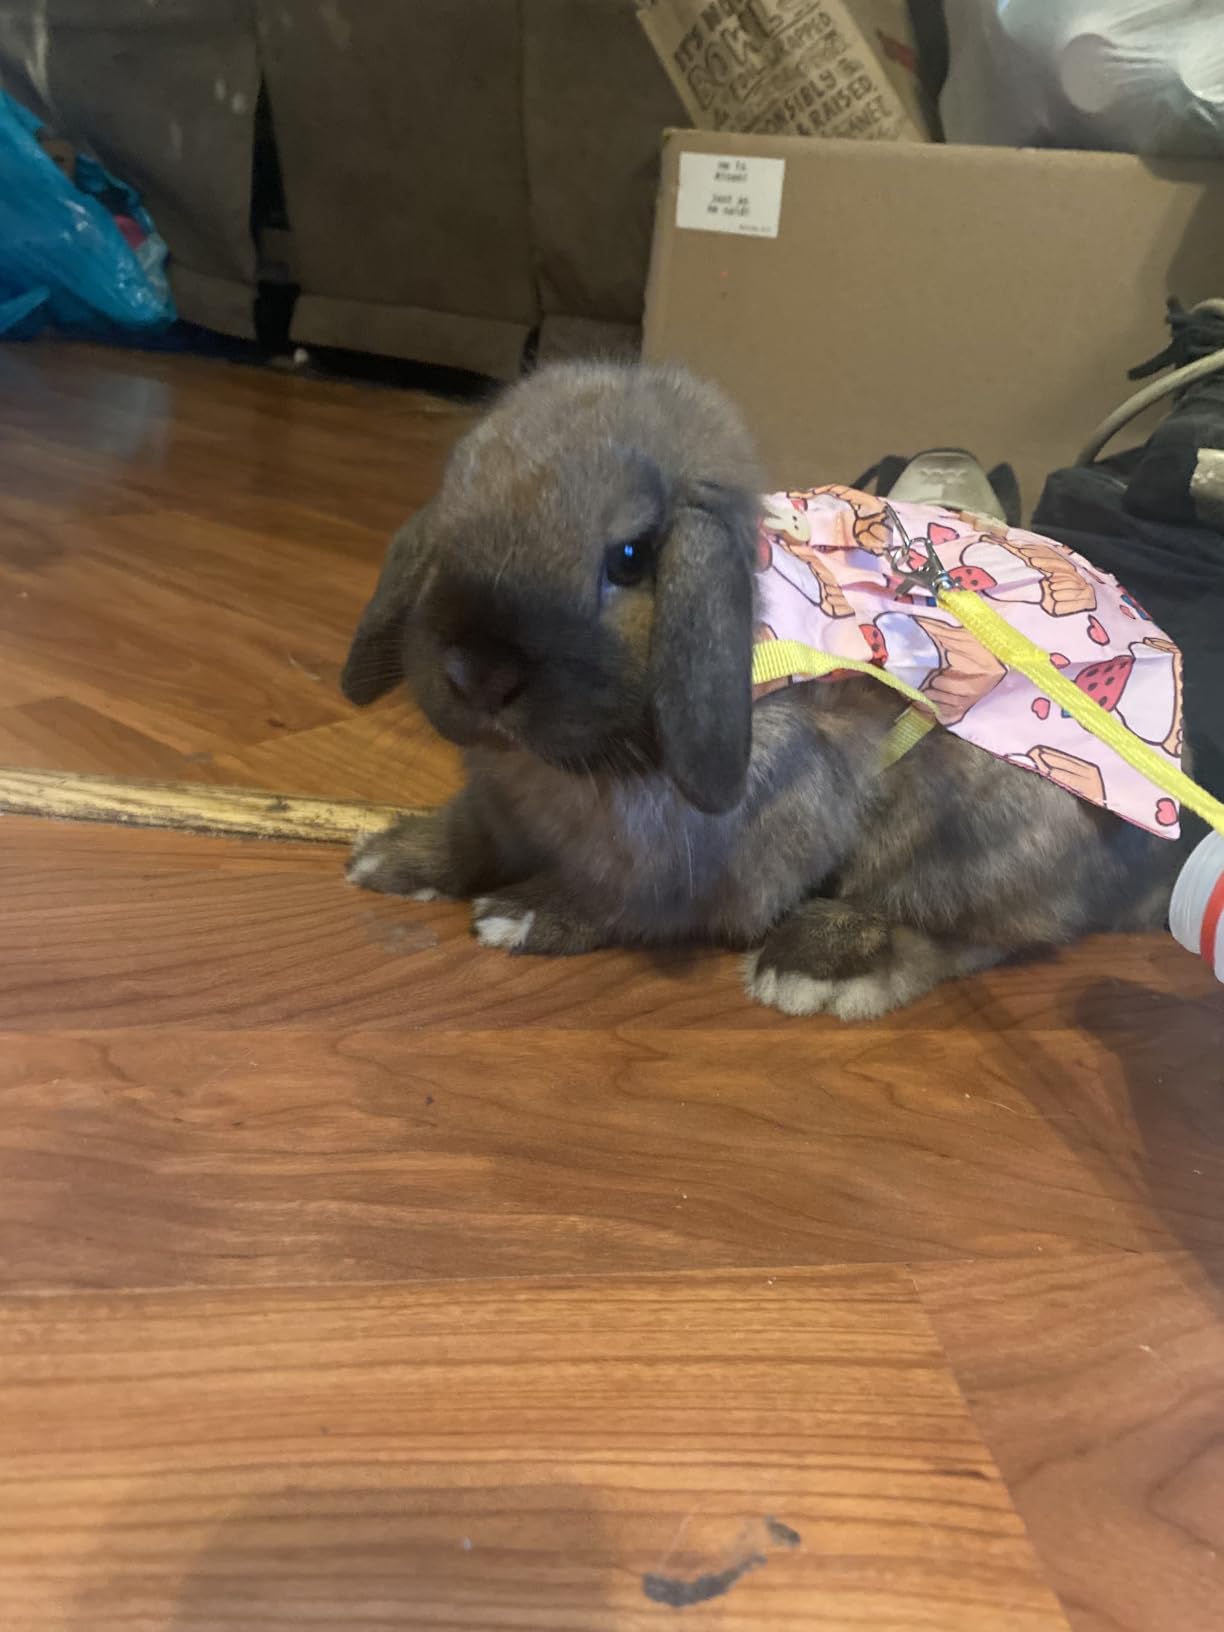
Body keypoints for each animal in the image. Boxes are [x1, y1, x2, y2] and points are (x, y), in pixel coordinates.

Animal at [340, 360, 1187, 1019]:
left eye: (628, 557)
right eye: (454, 511)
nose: (478, 675)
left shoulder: (723, 848)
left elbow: (632, 902)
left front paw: (521, 915)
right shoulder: (501, 808)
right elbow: (471, 835)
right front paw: (390, 859)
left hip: (978, 825)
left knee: (961, 933)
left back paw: (814, 967)